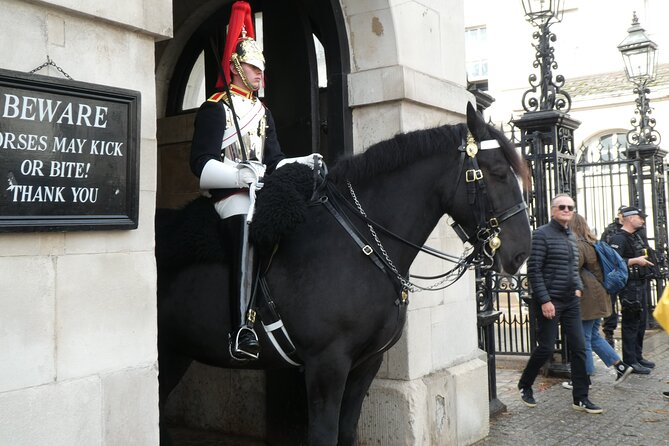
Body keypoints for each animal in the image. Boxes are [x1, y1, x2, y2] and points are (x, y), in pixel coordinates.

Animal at [157, 103, 532, 444]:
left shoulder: (366, 364)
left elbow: (347, 431)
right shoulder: (327, 365)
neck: (359, 240)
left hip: (175, 354)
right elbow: (325, 435)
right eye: (498, 172)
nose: (521, 253)